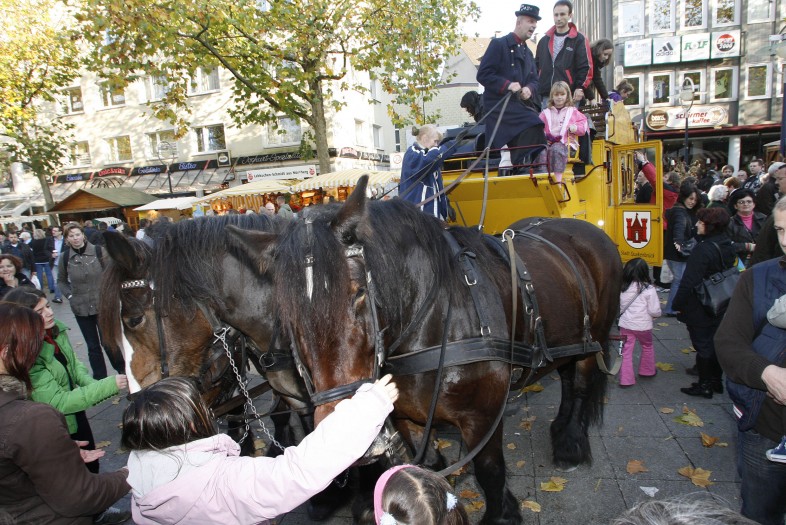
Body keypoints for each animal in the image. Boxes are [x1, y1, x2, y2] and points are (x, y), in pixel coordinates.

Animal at [227, 176, 622, 524]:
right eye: (286, 312)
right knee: (567, 376)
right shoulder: (407, 419)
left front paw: (502, 513)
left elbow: (490, 470)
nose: (343, 433)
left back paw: (571, 444)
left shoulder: (484, 416)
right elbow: (424, 468)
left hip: (595, 338)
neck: (435, 322)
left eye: (359, 292)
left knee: (581, 384)